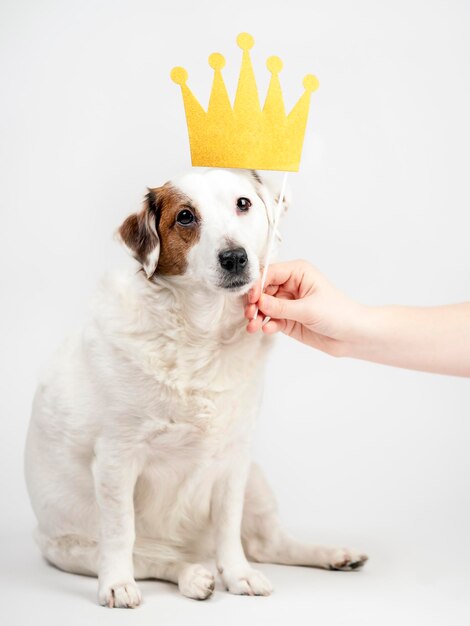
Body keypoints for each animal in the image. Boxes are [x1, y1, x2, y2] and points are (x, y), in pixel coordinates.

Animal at [24, 167, 368, 604]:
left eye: (243, 203)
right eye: (185, 217)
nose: (235, 257)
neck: (201, 334)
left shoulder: (235, 460)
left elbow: (229, 529)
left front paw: (238, 574)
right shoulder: (117, 458)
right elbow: (120, 533)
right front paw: (117, 583)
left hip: (256, 481)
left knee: (267, 543)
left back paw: (332, 555)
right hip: (71, 549)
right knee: (153, 559)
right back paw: (190, 575)